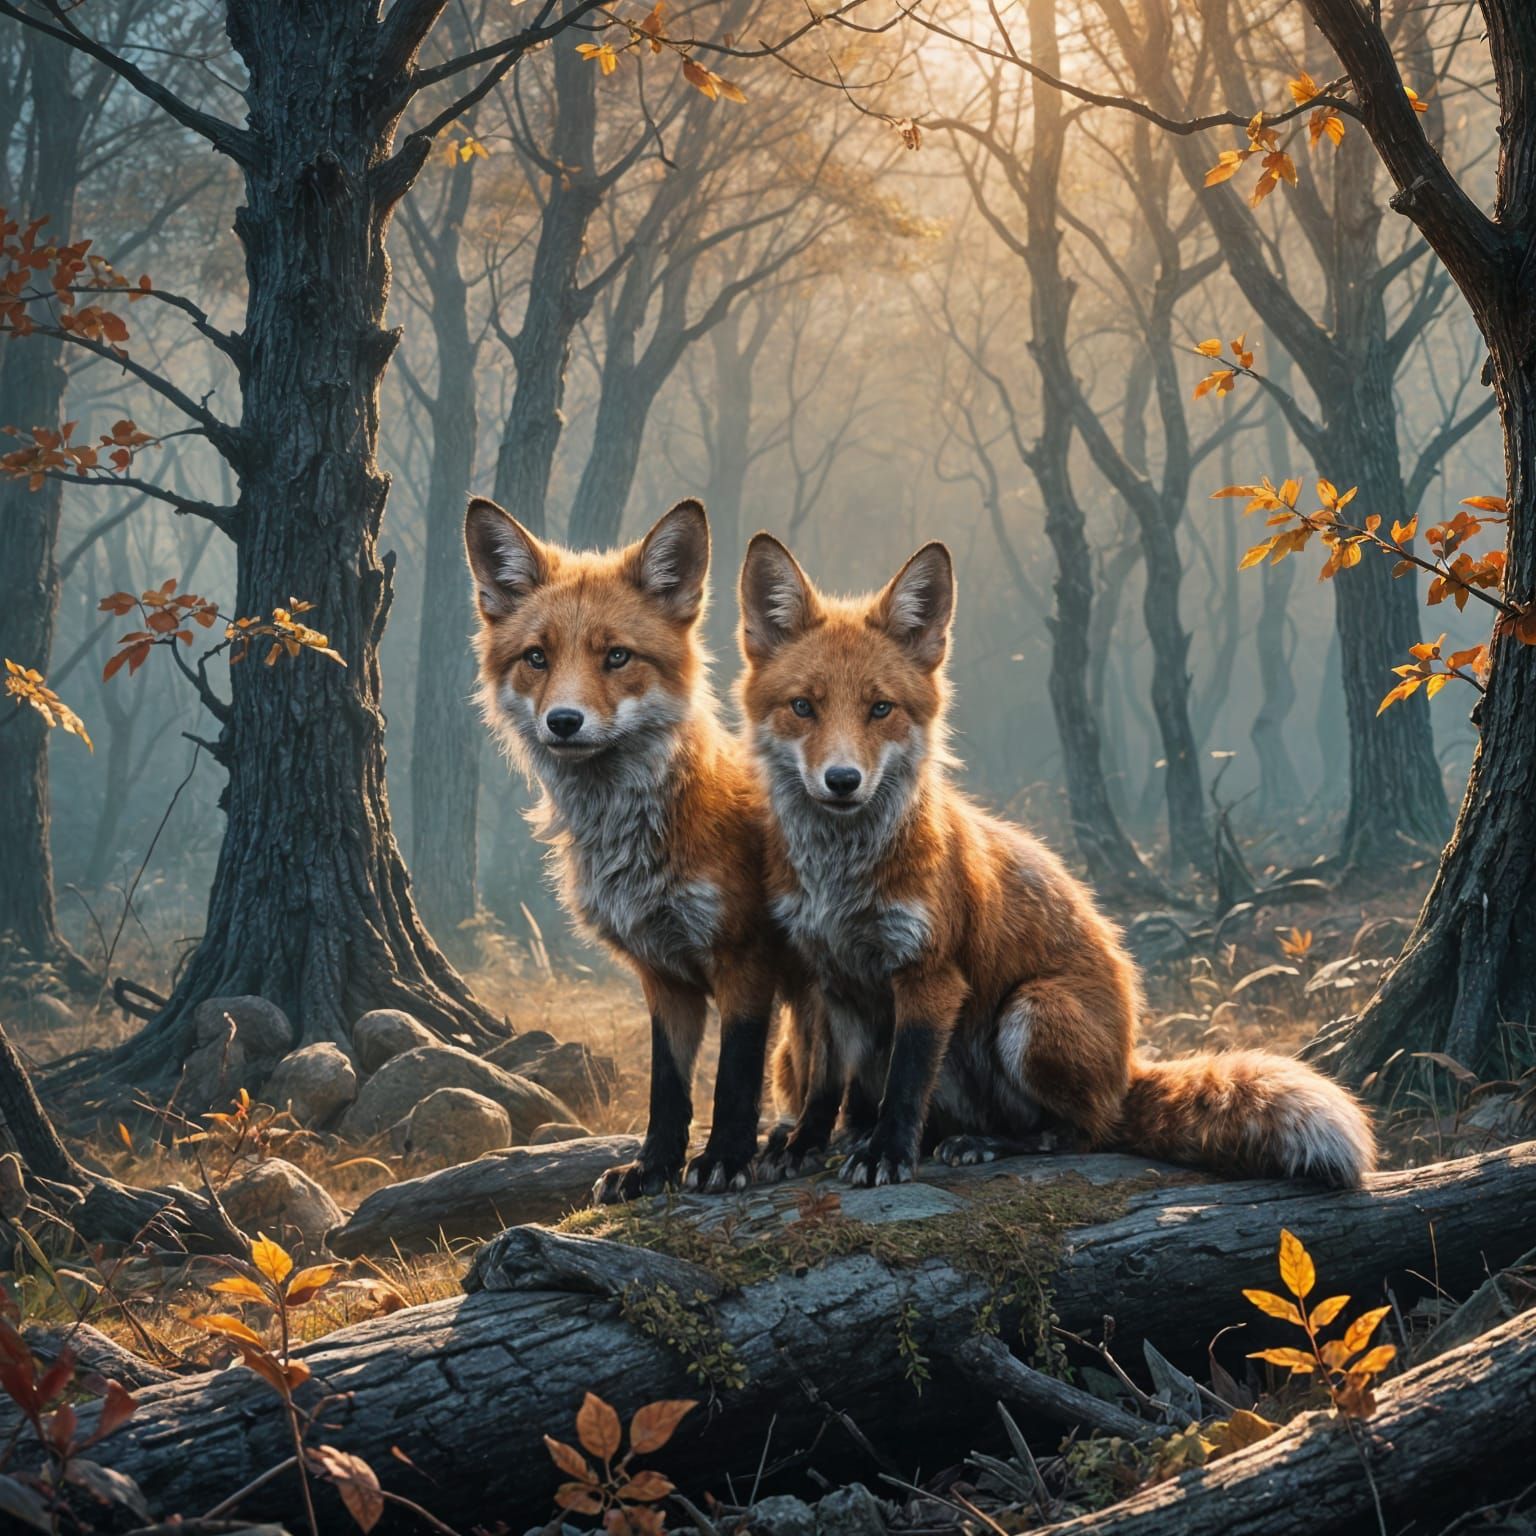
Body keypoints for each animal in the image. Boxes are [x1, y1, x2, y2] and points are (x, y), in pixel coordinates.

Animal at [465, 495, 799, 1202]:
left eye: (616, 656)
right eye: (537, 657)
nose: (563, 721)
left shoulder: (744, 958)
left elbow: (734, 1077)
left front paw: (724, 1159)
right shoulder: (661, 973)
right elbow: (667, 1088)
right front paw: (653, 1169)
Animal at [737, 531, 1377, 1190]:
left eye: (881, 709)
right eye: (803, 707)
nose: (843, 781)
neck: (840, 880)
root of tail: (1126, 1073)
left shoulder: (930, 974)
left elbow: (906, 1086)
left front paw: (886, 1153)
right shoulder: (825, 977)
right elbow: (823, 1086)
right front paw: (805, 1146)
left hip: (1032, 1013)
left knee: (1079, 1133)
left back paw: (986, 1142)